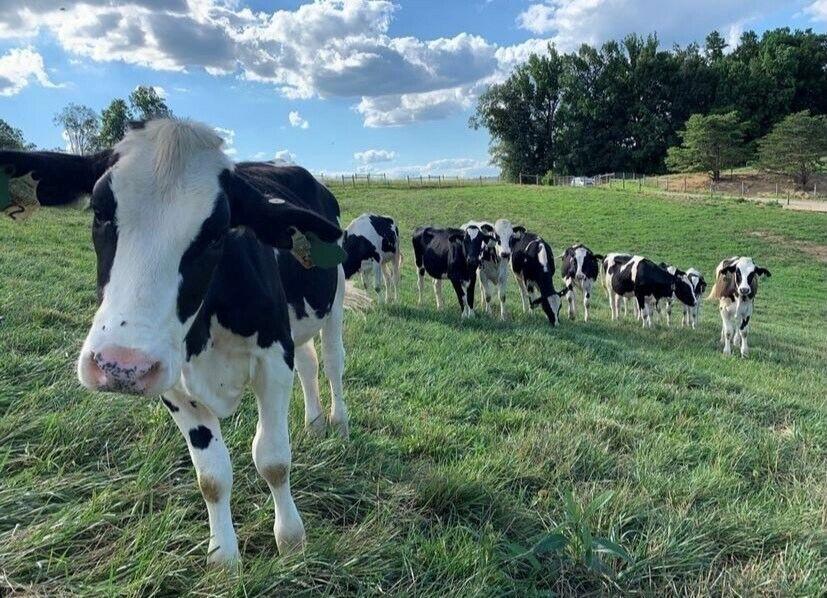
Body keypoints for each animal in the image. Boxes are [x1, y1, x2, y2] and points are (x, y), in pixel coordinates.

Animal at [0, 119, 360, 566]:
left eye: (217, 232)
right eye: (99, 211)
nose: (120, 365)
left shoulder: (274, 358)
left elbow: (273, 459)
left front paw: (291, 540)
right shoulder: (171, 382)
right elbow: (212, 477)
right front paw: (224, 558)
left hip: (335, 299)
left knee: (331, 361)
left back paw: (337, 422)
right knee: (309, 363)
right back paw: (313, 424)